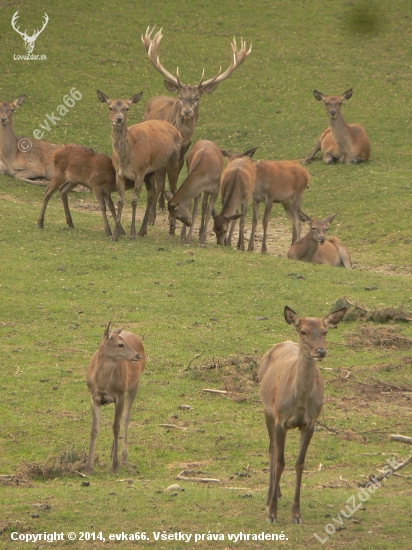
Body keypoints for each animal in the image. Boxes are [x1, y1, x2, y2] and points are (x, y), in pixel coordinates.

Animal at [84, 324, 146, 474]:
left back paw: (123, 455)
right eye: (120, 344)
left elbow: (116, 427)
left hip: (134, 385)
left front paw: (115, 466)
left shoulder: (120, 395)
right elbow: (94, 429)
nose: (137, 355)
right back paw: (112, 453)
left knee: (125, 417)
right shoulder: (94, 398)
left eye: (124, 343)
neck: (102, 384)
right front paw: (88, 467)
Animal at [96, 90, 182, 242]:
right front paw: (115, 235)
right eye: (110, 107)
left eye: (127, 108)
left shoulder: (140, 172)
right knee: (151, 194)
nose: (119, 119)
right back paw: (143, 230)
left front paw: (131, 234)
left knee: (173, 189)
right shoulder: (119, 173)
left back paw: (171, 231)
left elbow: (134, 201)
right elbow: (120, 201)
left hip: (173, 161)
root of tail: (178, 131)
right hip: (152, 171)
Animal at [142, 27, 251, 215]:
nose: (187, 111)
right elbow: (161, 181)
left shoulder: (183, 152)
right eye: (180, 96)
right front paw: (157, 211)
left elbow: (175, 180)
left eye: (197, 97)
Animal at [260, 306, 346, 528]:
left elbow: (299, 464)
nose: (320, 351)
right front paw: (272, 514)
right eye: (303, 331)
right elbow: (280, 462)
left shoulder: (310, 424)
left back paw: (278, 493)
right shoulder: (280, 419)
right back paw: (270, 496)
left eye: (325, 331)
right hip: (267, 410)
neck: (298, 402)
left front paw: (296, 515)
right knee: (272, 449)